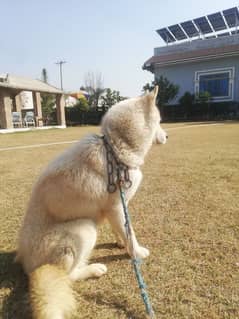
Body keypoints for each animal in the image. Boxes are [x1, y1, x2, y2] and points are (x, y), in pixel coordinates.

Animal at [15, 86, 167, 318]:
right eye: (159, 121)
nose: (167, 135)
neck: (115, 148)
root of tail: (30, 267)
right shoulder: (117, 206)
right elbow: (130, 233)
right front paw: (136, 252)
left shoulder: (114, 208)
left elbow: (121, 229)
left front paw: (120, 243)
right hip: (85, 229)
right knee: (68, 276)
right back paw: (94, 269)